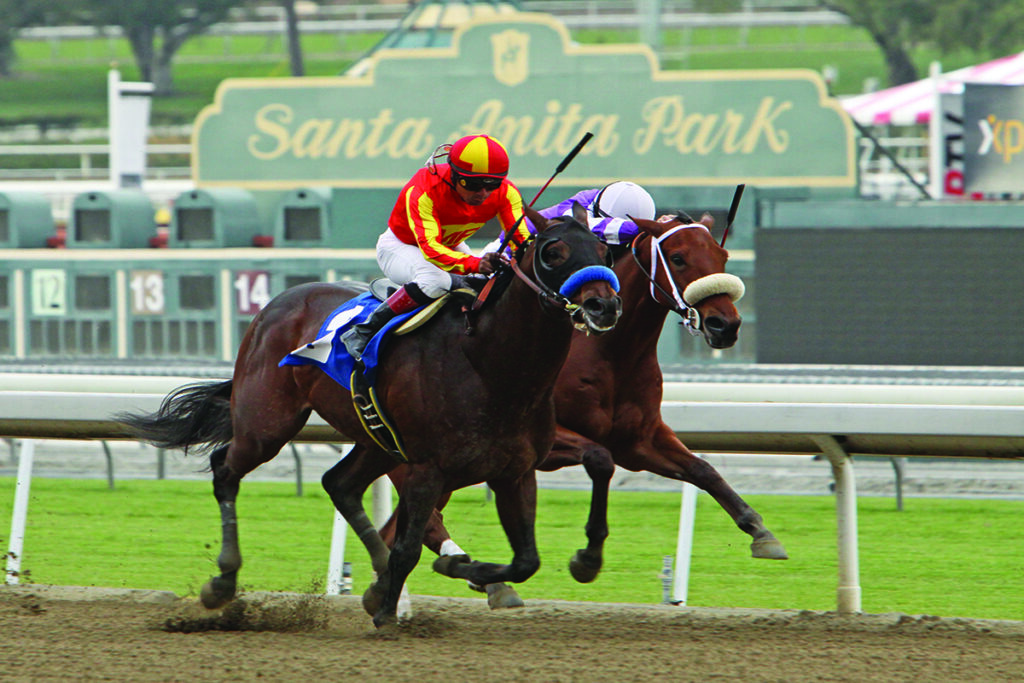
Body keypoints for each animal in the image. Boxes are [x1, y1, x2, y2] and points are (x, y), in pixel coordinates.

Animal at [116, 205, 618, 626]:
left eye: (604, 249)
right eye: (553, 252)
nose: (603, 305)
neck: (490, 365)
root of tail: (274, 305)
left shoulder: (515, 471)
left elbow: (526, 558)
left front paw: (457, 568)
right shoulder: (428, 468)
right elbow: (409, 547)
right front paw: (388, 612)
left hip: (378, 441)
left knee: (338, 484)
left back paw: (377, 580)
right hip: (266, 423)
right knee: (225, 470)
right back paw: (222, 582)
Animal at [380, 210, 786, 606]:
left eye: (722, 256)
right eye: (678, 258)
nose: (725, 324)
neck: (609, 352)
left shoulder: (638, 441)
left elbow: (702, 470)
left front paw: (760, 530)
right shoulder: (547, 444)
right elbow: (599, 458)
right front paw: (587, 558)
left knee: (397, 529)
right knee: (421, 523)